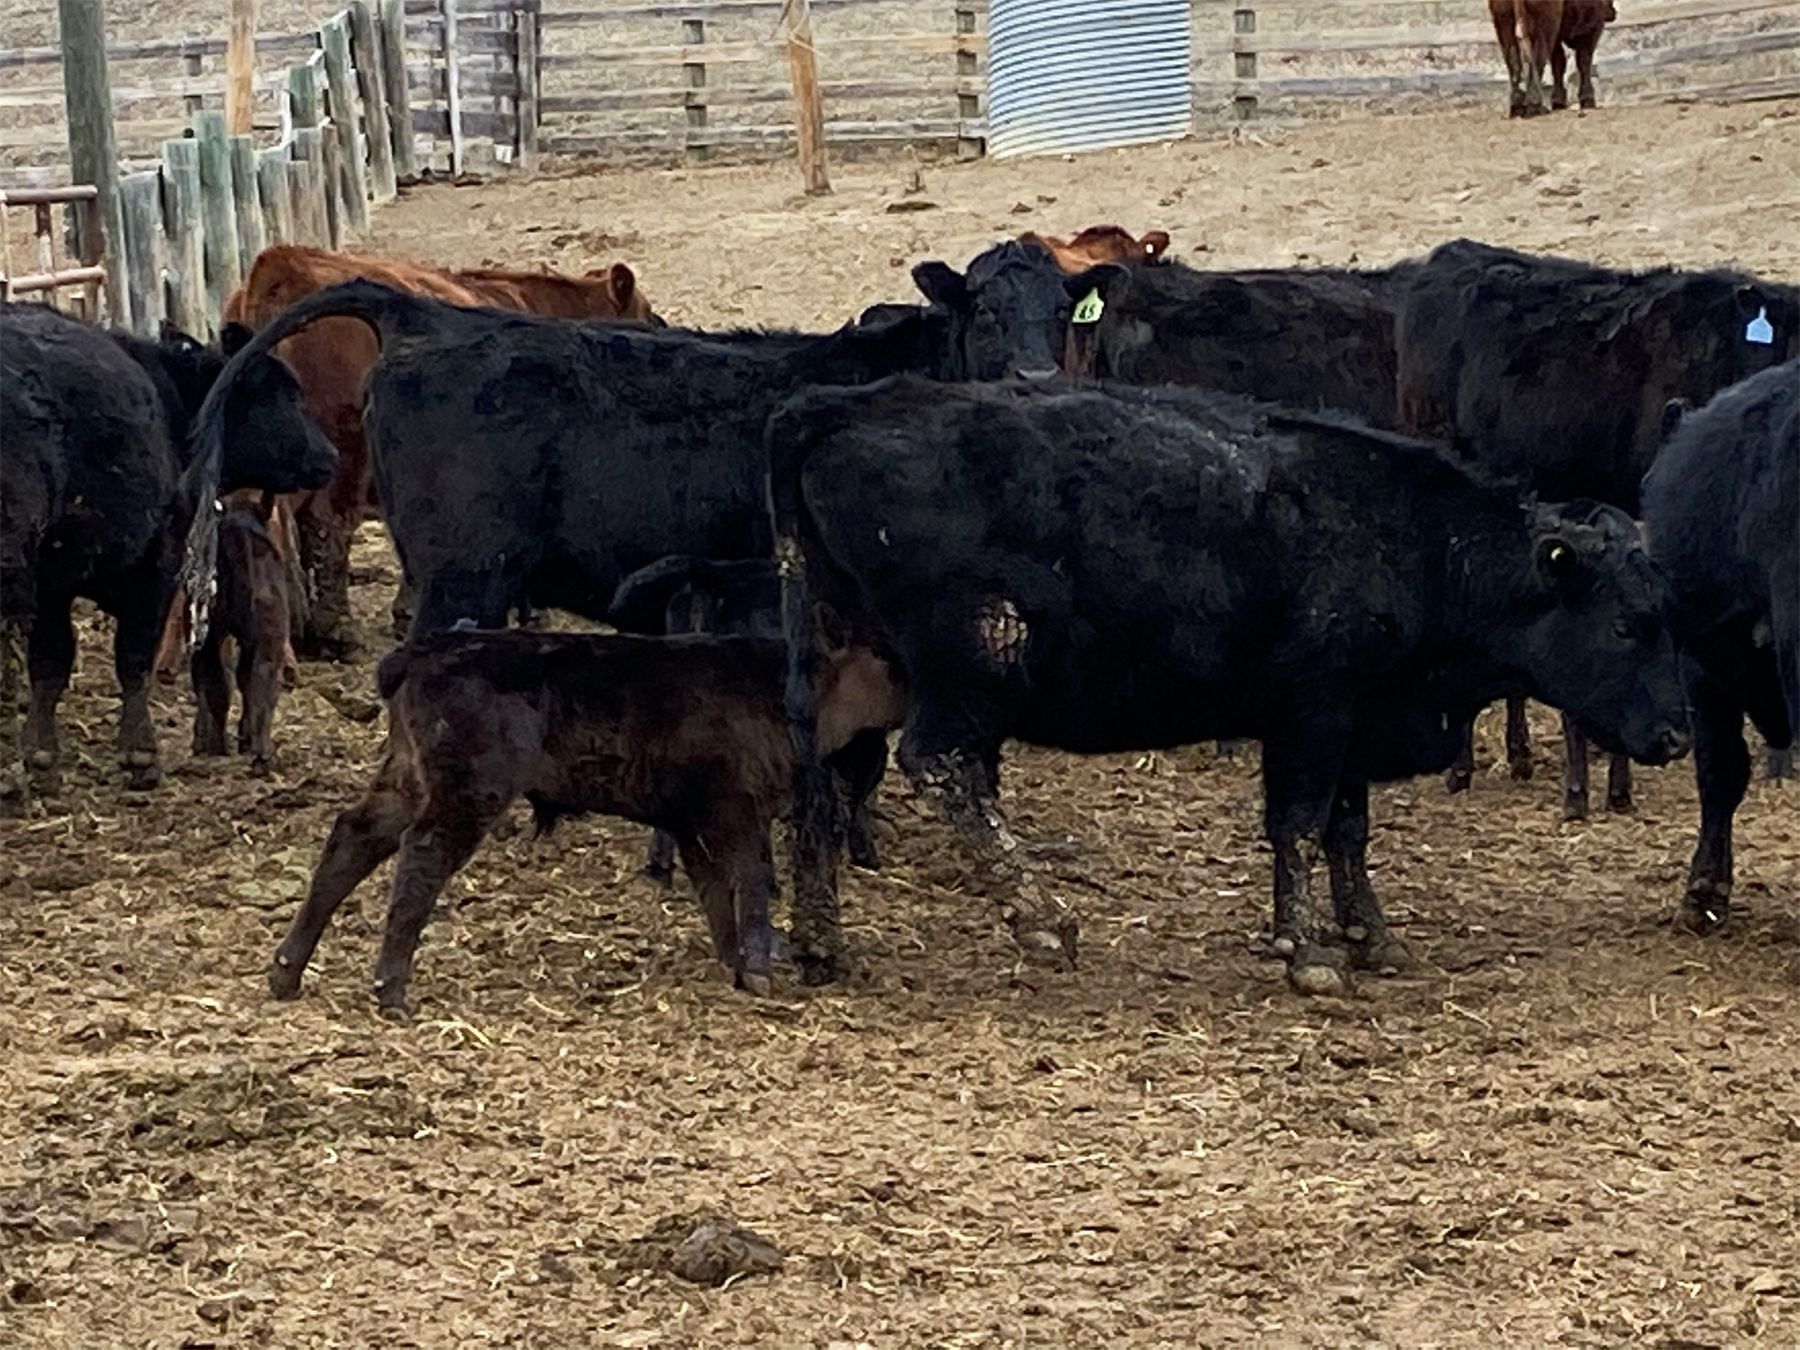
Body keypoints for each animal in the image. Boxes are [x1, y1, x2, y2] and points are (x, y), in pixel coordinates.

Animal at [1, 305, 335, 799]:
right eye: (286, 394)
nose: (329, 456)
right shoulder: (153, 566)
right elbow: (133, 656)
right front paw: (141, 755)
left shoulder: (53, 582)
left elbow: (51, 661)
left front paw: (42, 759)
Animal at [267, 630, 905, 1018]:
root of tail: (426, 650)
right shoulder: (735, 809)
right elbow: (748, 881)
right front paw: (758, 968)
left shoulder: (691, 819)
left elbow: (714, 890)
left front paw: (733, 962)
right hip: (467, 789)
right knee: (420, 855)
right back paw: (391, 990)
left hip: (406, 778)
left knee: (353, 837)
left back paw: (286, 972)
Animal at [769, 377, 1690, 994]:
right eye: (1624, 625)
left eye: (1665, 616)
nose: (1676, 735)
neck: (1414, 543)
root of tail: (840, 408)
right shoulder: (1313, 715)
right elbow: (1300, 825)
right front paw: (1308, 953)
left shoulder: (1351, 721)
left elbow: (1347, 832)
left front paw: (1369, 935)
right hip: (967, 675)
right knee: (942, 767)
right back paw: (1043, 920)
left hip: (843, 669)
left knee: (818, 780)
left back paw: (821, 941)